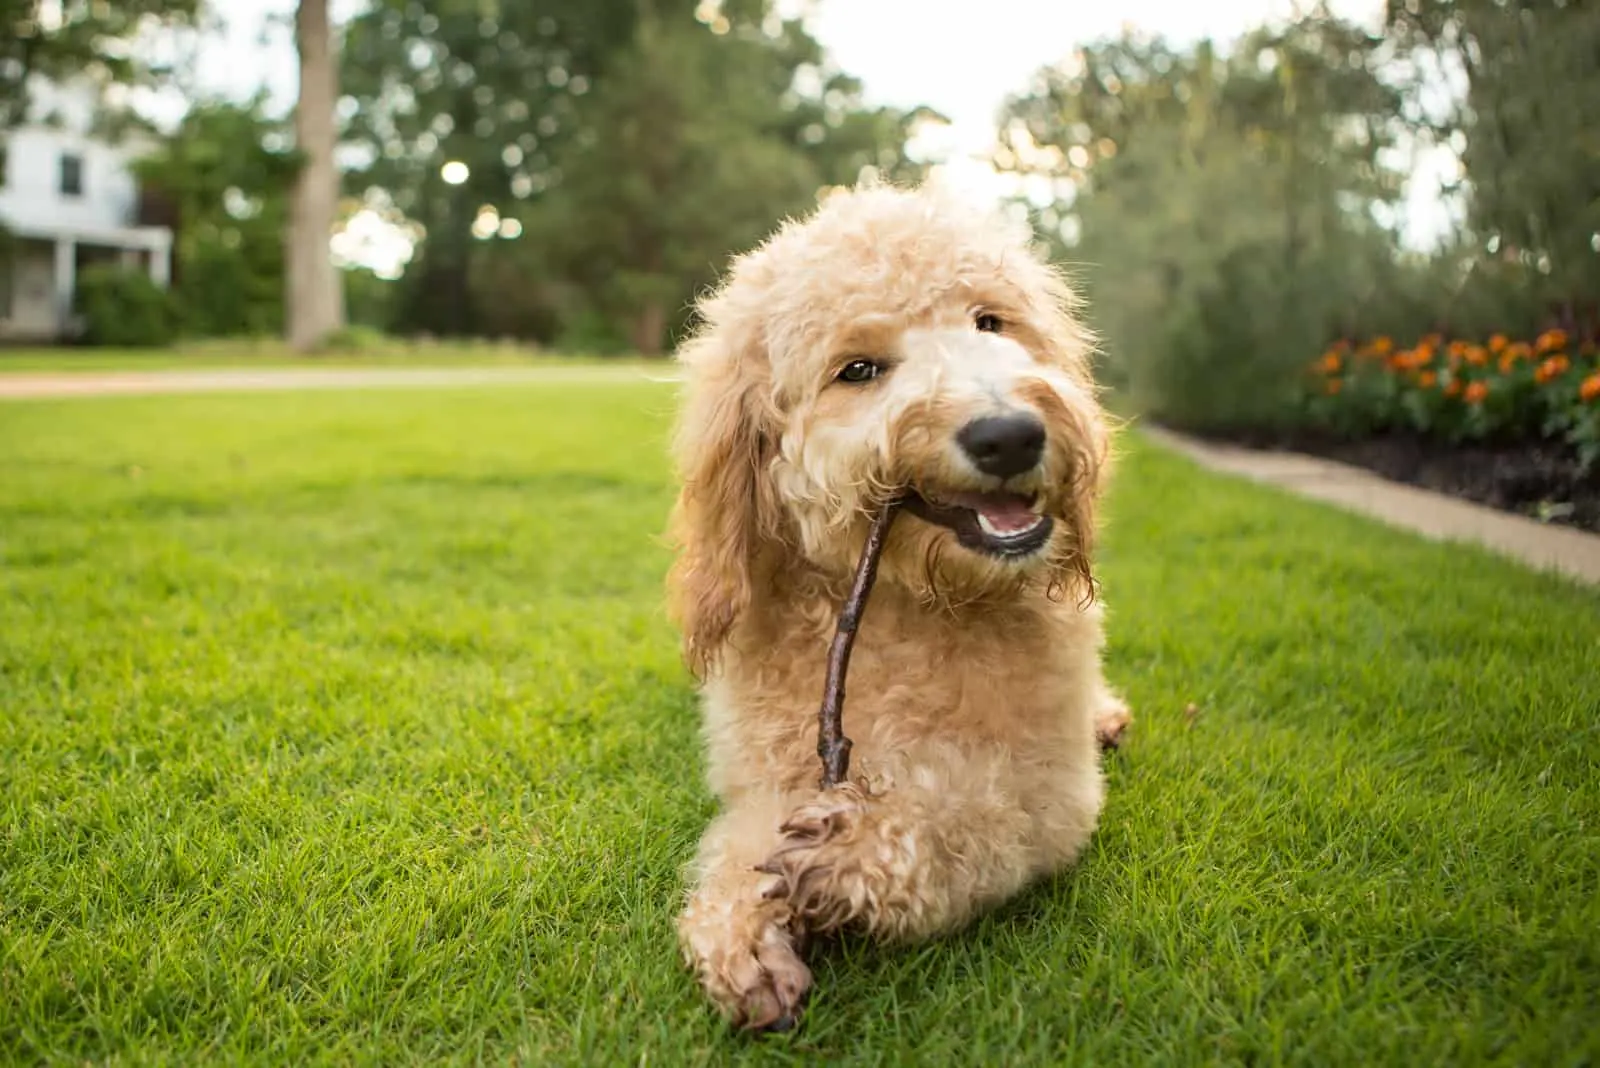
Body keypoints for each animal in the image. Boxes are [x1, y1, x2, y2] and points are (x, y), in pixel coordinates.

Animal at [662, 179, 1126, 1029]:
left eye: (989, 322)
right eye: (858, 369)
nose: (1009, 435)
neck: (910, 605)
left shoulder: (1054, 791)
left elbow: (977, 819)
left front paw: (855, 852)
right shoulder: (767, 778)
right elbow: (739, 847)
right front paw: (742, 931)